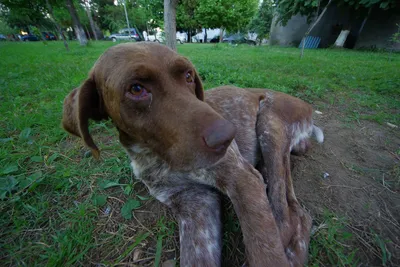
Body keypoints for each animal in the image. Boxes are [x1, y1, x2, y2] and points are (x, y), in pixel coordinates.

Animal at [63, 43, 324, 266]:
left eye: (188, 76)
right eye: (136, 89)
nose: (226, 135)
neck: (159, 159)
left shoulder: (242, 179)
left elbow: (264, 251)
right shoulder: (194, 203)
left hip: (269, 123)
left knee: (293, 214)